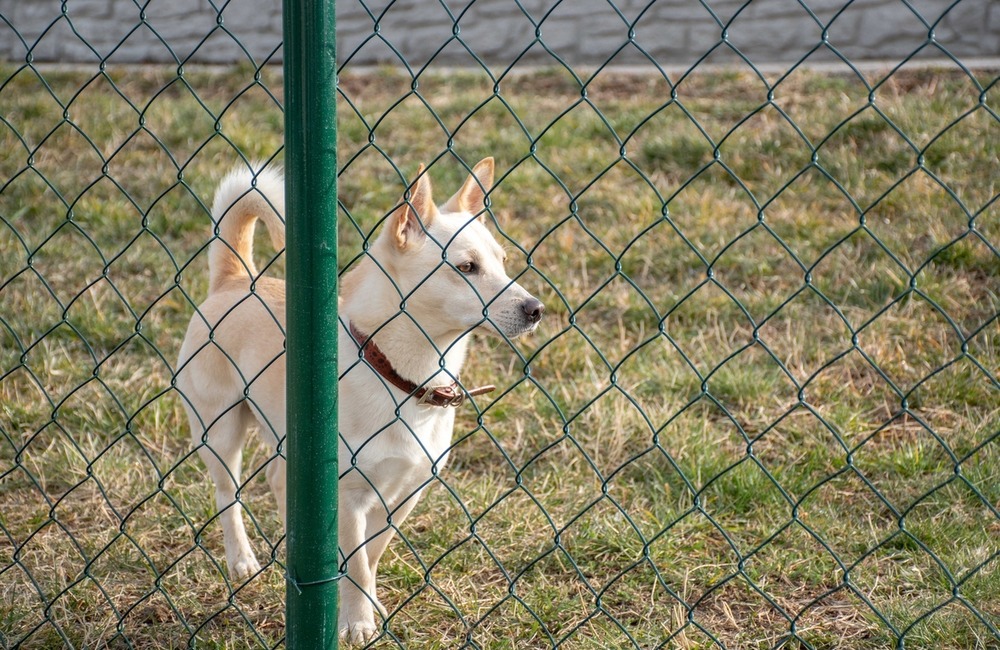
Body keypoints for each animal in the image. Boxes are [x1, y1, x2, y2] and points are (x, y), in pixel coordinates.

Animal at [176, 159, 544, 640]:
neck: (401, 377)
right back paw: (241, 559)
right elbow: (355, 565)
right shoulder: (348, 497)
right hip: (219, 432)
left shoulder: (404, 494)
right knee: (227, 494)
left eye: (502, 263)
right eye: (466, 267)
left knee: (277, 481)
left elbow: (369, 557)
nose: (536, 308)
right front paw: (355, 622)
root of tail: (236, 280)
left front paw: (365, 607)